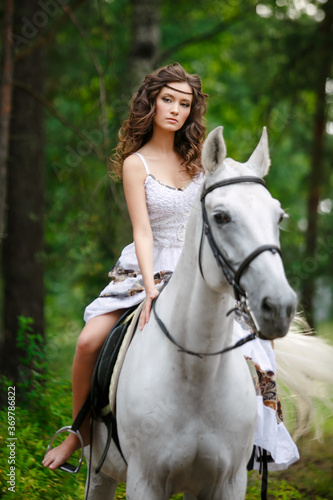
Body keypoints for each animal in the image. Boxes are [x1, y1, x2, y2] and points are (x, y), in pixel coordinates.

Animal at [85, 127, 296, 500]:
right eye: (221, 216)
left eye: (278, 217)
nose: (279, 307)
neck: (198, 372)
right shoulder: (144, 482)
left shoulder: (227, 484)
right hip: (99, 473)